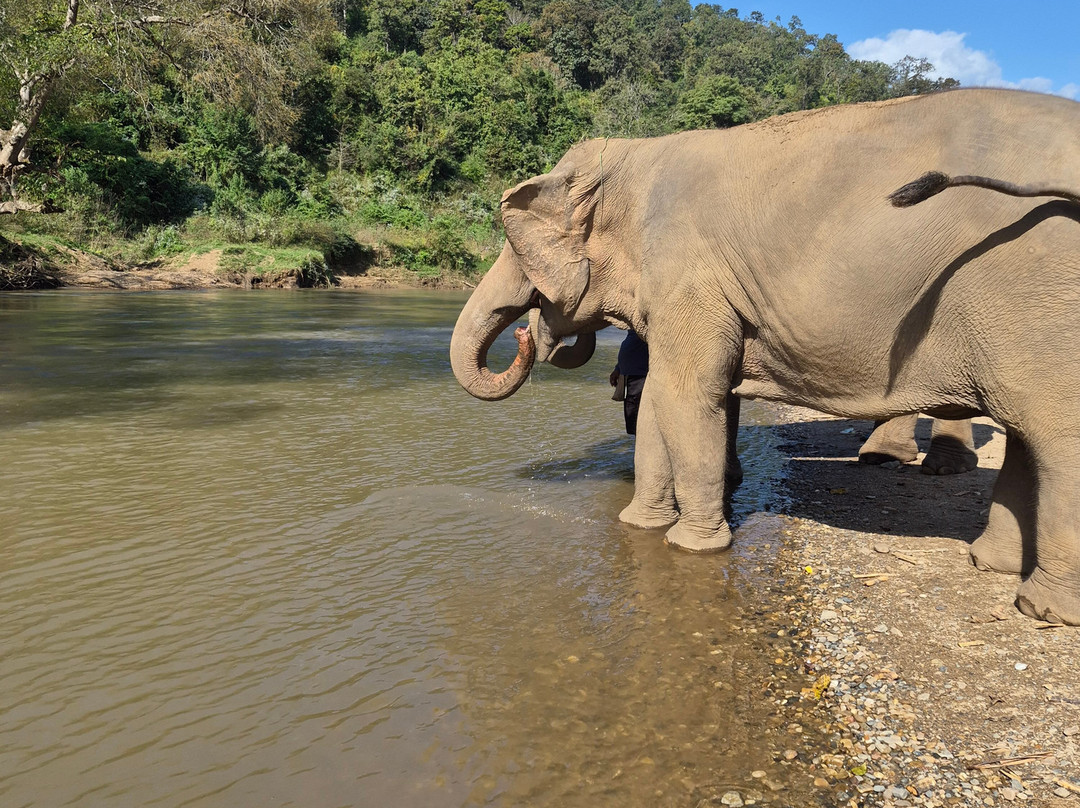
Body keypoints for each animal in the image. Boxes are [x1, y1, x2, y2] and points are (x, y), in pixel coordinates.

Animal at [450, 88, 1080, 623]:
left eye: (513, 245)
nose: (527, 334)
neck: (634, 156)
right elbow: (659, 402)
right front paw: (640, 526)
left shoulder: (690, 275)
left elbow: (685, 395)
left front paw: (693, 547)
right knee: (1029, 433)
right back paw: (989, 564)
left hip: (1038, 295)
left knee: (1057, 436)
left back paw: (1042, 609)